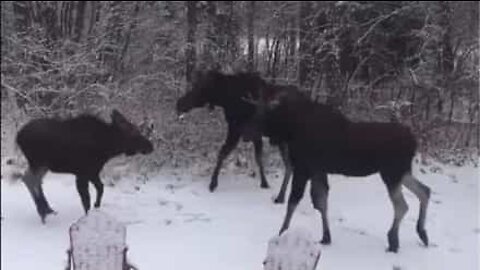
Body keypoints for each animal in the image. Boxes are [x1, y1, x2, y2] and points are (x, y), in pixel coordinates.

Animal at [15, 108, 154, 223]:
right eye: (133, 132)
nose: (150, 146)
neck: (107, 148)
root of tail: (18, 137)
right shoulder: (82, 173)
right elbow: (86, 200)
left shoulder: (93, 172)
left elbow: (100, 188)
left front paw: (97, 205)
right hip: (38, 162)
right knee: (29, 179)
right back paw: (43, 211)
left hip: (43, 165)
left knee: (31, 179)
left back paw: (47, 209)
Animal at [244, 83, 432, 252]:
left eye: (263, 114)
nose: (247, 134)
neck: (291, 127)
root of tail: (414, 143)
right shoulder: (318, 170)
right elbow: (321, 201)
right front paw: (326, 236)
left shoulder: (304, 168)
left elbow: (294, 201)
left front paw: (282, 231)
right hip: (400, 172)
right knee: (424, 190)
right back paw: (422, 233)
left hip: (391, 173)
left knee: (402, 205)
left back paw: (393, 240)